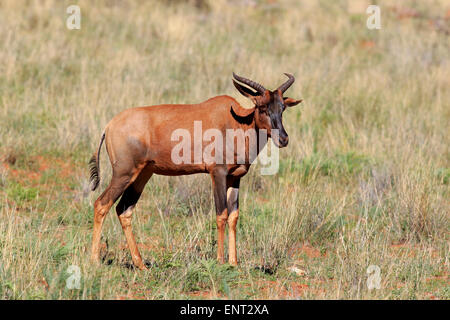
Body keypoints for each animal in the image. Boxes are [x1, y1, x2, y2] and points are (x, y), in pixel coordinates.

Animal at [88, 72, 302, 268]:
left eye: (282, 108)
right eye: (262, 107)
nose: (283, 139)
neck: (236, 121)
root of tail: (109, 126)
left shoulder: (235, 178)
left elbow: (234, 216)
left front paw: (233, 263)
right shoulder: (218, 174)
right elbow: (221, 214)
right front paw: (220, 261)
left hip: (142, 175)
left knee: (124, 210)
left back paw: (141, 265)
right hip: (123, 174)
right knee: (101, 204)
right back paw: (95, 261)